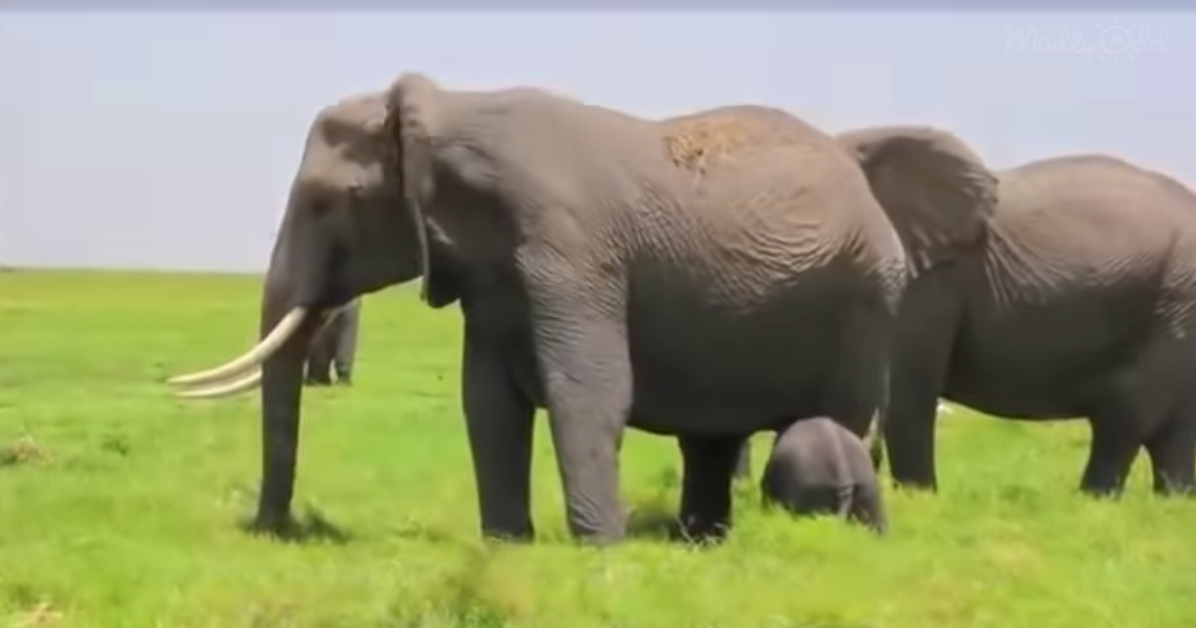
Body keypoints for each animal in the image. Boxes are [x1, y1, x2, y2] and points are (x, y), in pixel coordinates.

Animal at [165, 72, 995, 545]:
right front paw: (507, 545)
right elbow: (487, 402)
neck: (446, 114)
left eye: (329, 202)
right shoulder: (491, 275)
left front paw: (599, 550)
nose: (270, 529)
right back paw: (699, 540)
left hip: (864, 300)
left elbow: (588, 392)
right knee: (712, 437)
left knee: (837, 420)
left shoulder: (568, 248)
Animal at [838, 128, 1196, 497]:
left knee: (1126, 416)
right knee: (1172, 433)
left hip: (1175, 303)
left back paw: (1094, 500)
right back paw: (1171, 501)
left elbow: (906, 389)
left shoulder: (928, 281)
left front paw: (918, 499)